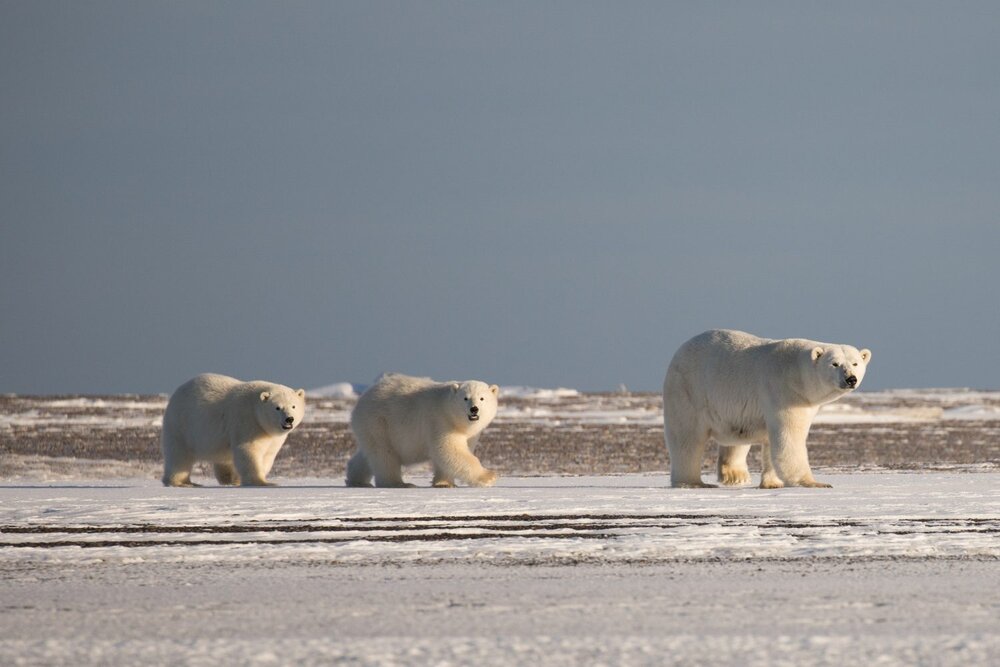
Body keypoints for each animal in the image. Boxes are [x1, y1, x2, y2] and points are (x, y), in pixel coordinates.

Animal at [161, 373, 306, 487]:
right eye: (277, 407)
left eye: (293, 406)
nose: (289, 419)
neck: (255, 409)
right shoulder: (247, 422)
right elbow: (248, 451)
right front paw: (262, 482)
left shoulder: (271, 437)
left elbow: (267, 455)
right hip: (181, 425)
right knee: (179, 455)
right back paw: (183, 482)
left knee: (224, 459)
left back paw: (229, 480)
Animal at [346, 373, 500, 488]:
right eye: (465, 398)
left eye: (482, 398)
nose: (474, 409)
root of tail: (363, 397)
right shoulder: (440, 421)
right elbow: (450, 450)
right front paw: (489, 477)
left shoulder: (469, 433)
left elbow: (452, 452)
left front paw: (444, 483)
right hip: (379, 422)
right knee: (384, 454)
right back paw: (399, 483)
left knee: (367, 455)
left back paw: (357, 480)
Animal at [662, 329, 871, 489]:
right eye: (835, 364)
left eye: (855, 363)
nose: (851, 379)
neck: (796, 372)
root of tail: (679, 351)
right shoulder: (783, 392)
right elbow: (789, 437)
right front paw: (814, 482)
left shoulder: (803, 401)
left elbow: (772, 441)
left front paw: (772, 483)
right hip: (688, 389)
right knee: (686, 437)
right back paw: (692, 482)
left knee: (736, 438)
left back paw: (736, 476)